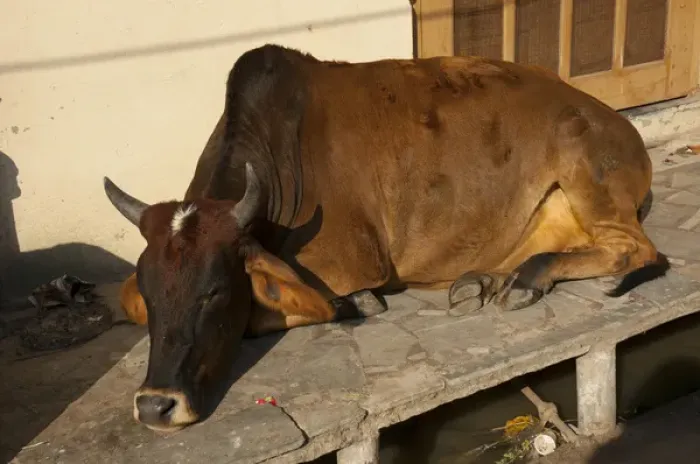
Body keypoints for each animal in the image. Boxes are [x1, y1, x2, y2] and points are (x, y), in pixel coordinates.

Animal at [103, 44, 659, 432]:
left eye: (214, 292)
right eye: (149, 293)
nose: (155, 405)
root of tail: (614, 118)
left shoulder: (350, 260)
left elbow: (292, 308)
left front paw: (356, 304)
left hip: (586, 166)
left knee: (638, 249)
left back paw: (538, 281)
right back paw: (486, 281)